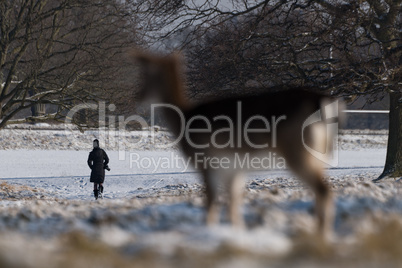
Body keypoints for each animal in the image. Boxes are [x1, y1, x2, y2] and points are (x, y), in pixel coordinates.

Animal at [133, 51, 338, 239]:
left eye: (147, 75)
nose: (138, 96)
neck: (183, 120)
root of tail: (322, 103)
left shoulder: (206, 162)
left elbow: (211, 202)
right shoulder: (233, 169)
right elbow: (233, 206)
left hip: (297, 150)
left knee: (323, 190)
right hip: (319, 153)